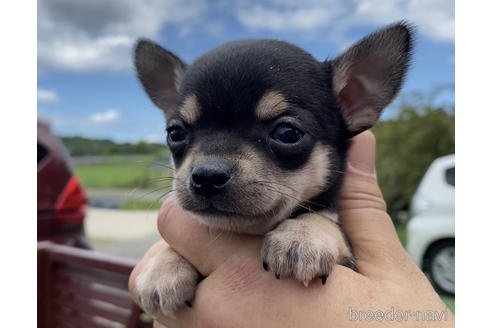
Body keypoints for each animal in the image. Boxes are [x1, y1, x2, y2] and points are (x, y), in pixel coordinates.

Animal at [133, 21, 414, 318]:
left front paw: (302, 235)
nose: (207, 176)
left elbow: (324, 218)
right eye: (175, 133)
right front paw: (163, 267)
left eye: (287, 133)